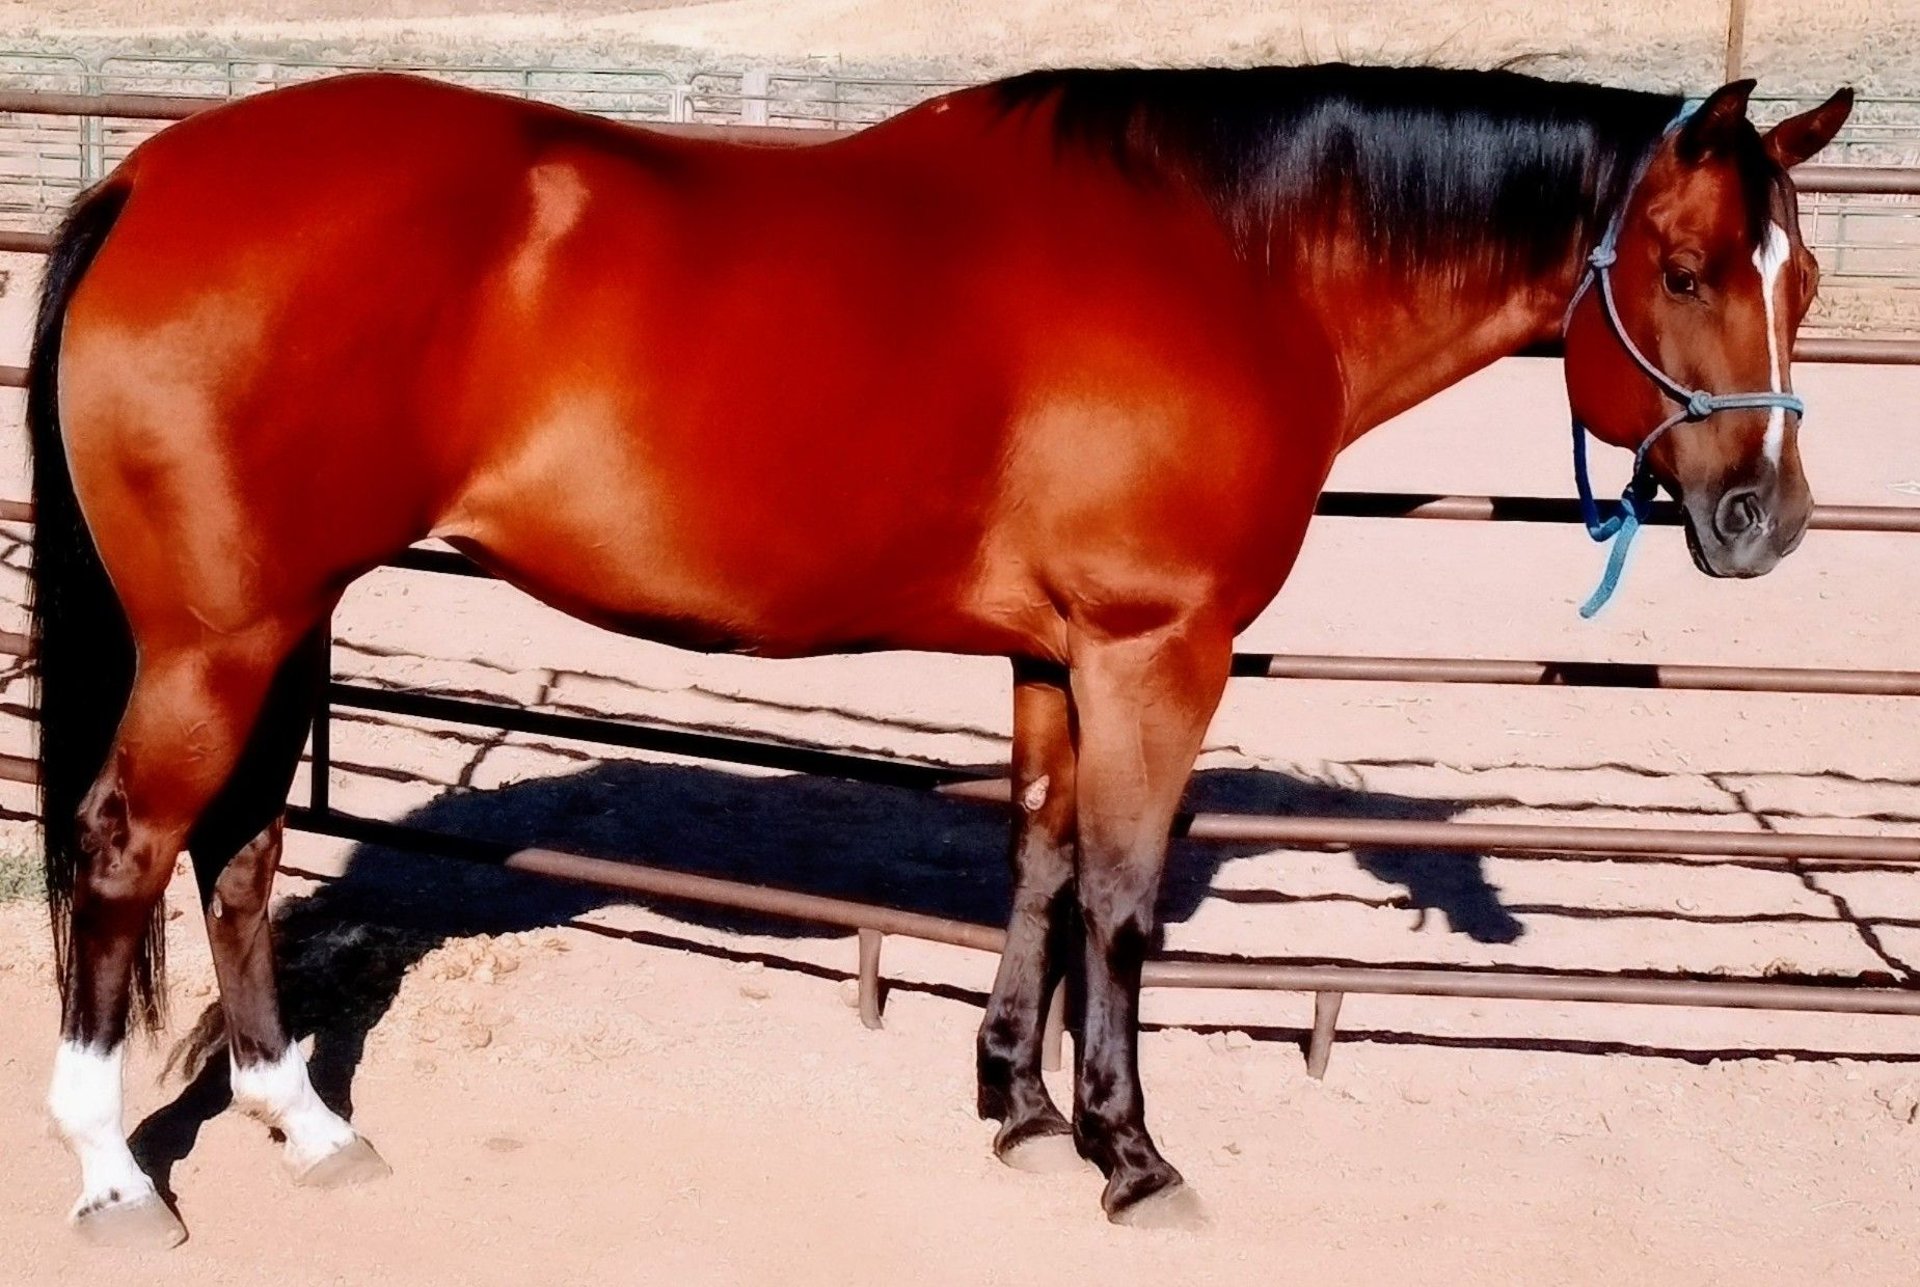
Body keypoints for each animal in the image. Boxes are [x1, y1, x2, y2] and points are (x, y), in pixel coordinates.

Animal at [28, 63, 1850, 1243]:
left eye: (1806, 276)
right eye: (1683, 268)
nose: (1765, 517)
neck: (1228, 255)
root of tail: (157, 176)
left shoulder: (1057, 657)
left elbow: (1036, 863)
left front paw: (1021, 1111)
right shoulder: (1155, 650)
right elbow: (1120, 899)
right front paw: (1130, 1152)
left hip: (285, 617)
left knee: (243, 851)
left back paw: (306, 1124)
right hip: (220, 637)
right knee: (126, 850)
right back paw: (113, 1174)